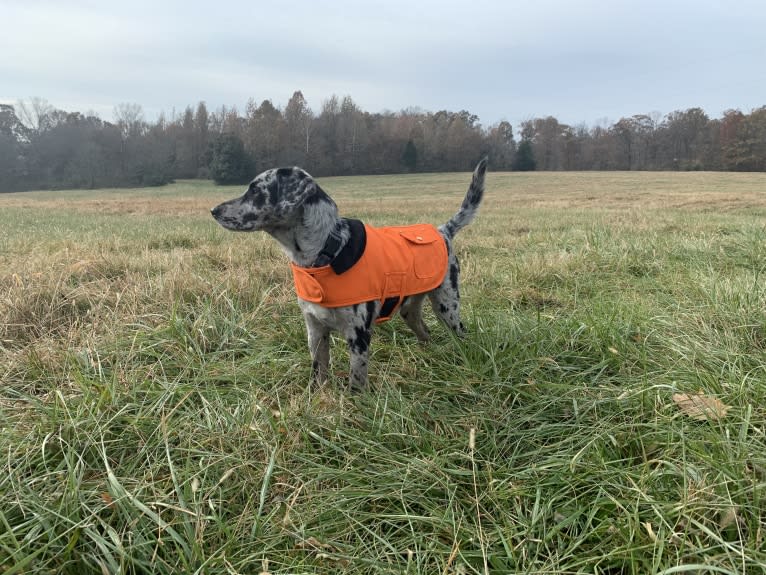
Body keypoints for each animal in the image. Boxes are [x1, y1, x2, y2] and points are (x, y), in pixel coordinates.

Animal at [212, 158, 486, 392]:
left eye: (255, 191)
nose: (214, 210)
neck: (327, 250)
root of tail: (443, 231)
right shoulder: (315, 330)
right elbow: (319, 371)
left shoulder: (358, 335)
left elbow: (357, 378)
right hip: (410, 310)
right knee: (425, 332)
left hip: (447, 307)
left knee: (460, 333)